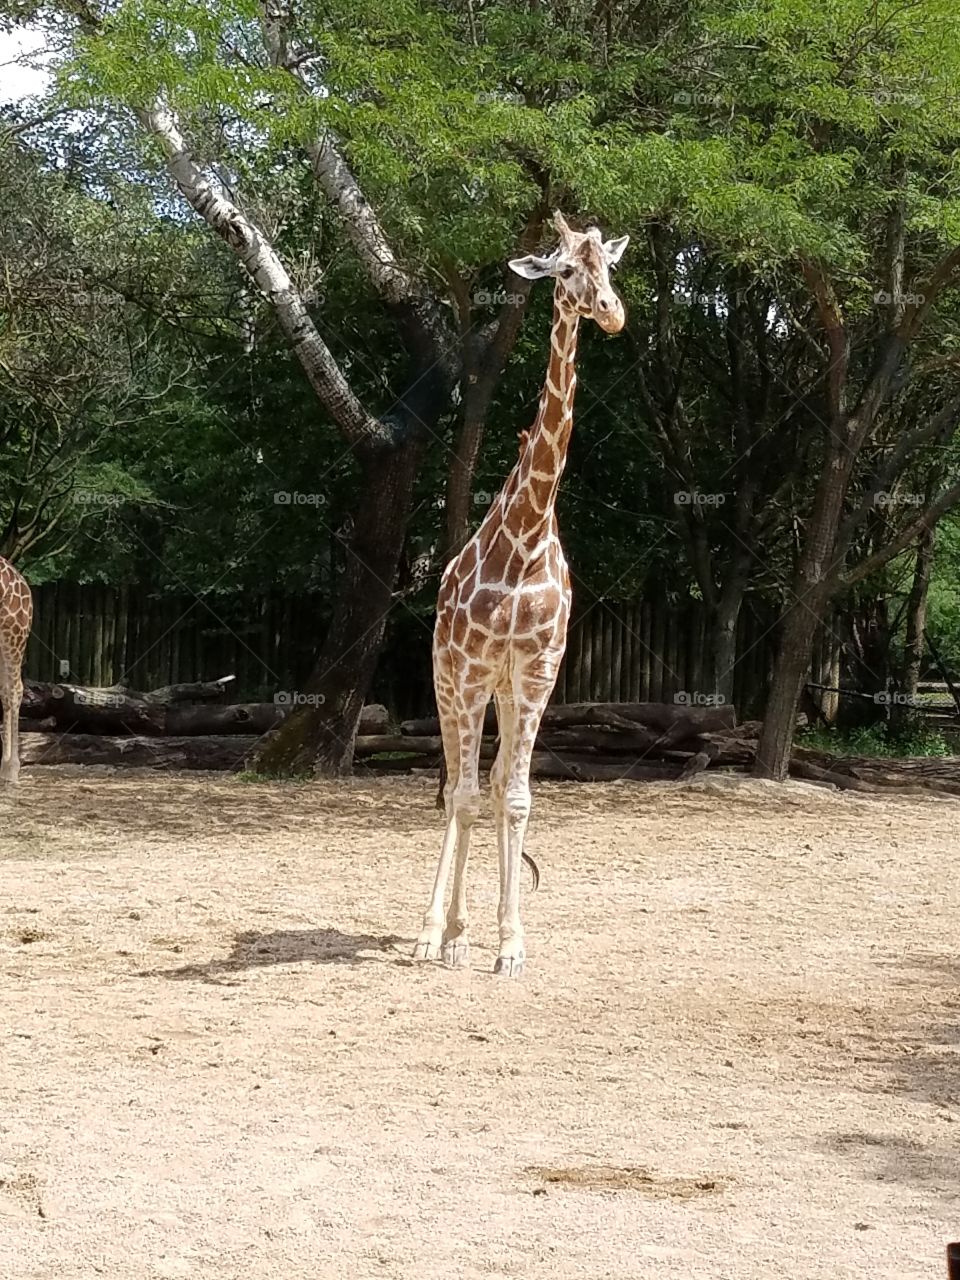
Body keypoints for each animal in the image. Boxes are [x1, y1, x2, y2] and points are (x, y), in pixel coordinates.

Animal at [414, 211, 629, 976]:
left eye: (610, 268)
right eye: (564, 270)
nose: (612, 313)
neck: (529, 533)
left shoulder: (536, 673)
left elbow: (515, 798)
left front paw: (510, 944)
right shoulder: (474, 669)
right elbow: (469, 796)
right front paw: (446, 935)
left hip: (504, 691)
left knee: (490, 780)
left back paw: (467, 929)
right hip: (449, 679)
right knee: (456, 785)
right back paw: (439, 931)